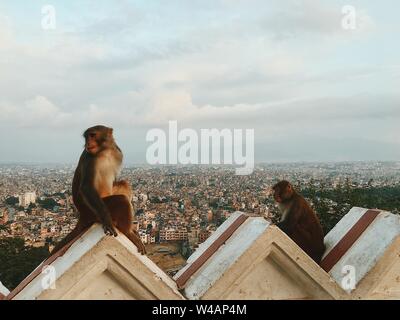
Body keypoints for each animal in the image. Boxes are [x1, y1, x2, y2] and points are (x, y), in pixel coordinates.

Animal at [50, 125, 146, 255]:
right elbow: (87, 187)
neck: (104, 151)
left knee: (124, 184)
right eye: (86, 137)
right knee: (121, 200)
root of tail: (83, 214)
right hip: (94, 211)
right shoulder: (89, 158)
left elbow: (116, 180)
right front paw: (107, 220)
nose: (87, 143)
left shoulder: (118, 154)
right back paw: (128, 232)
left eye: (92, 135)